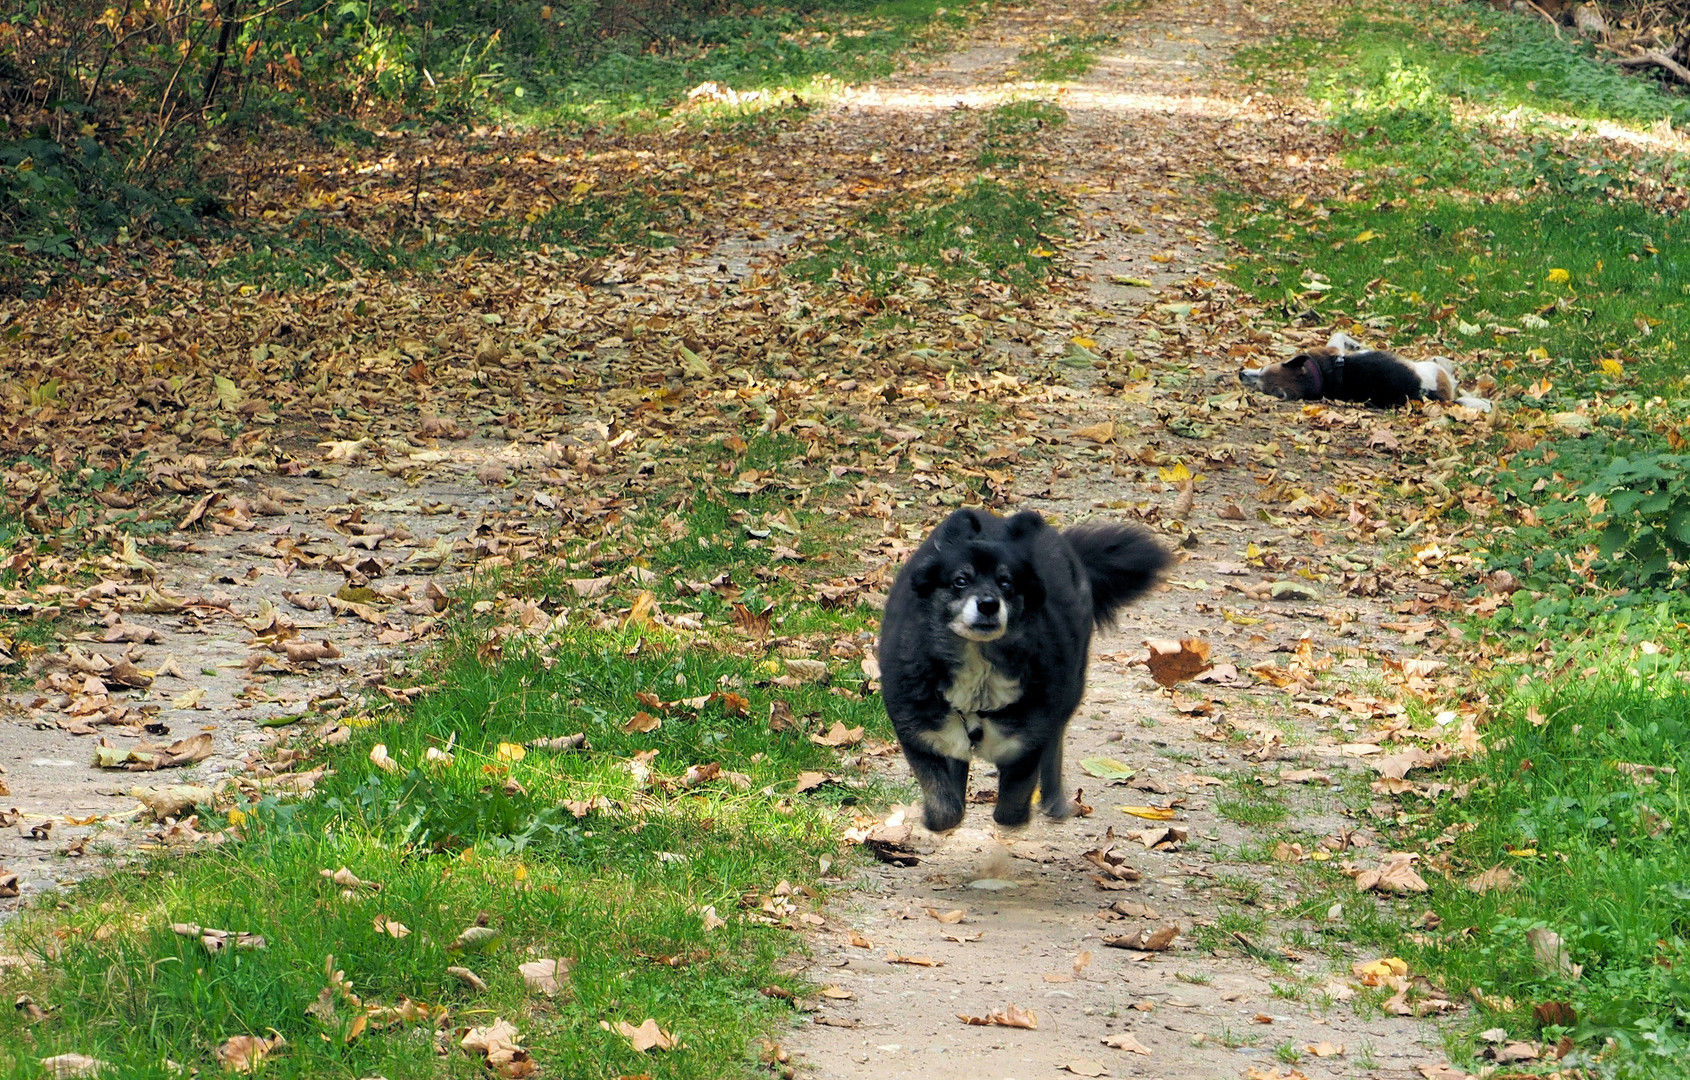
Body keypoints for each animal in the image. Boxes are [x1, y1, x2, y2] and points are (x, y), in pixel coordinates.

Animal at [878, 510, 1169, 831]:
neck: (979, 666)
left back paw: (1054, 800)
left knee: (1055, 742)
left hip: (1069, 689)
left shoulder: (1028, 741)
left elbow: (1011, 808)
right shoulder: (920, 733)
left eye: (1006, 583)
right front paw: (937, 815)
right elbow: (945, 807)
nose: (988, 605)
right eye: (960, 581)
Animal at [1243, 331, 1493, 412]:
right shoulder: (1334, 350)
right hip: (1432, 368)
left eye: (1263, 368)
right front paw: (1355, 344)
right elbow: (1340, 334)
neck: (1319, 377)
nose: (1240, 374)